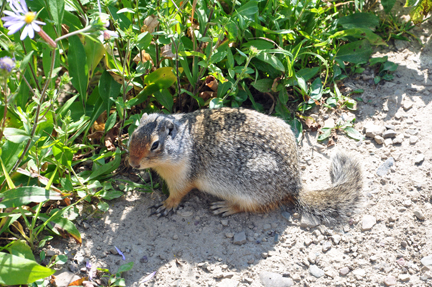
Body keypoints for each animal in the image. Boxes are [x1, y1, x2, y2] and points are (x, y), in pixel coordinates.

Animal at [127, 108, 362, 220]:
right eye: (133, 134)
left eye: (155, 145)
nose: (133, 164)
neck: (186, 144)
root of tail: (295, 186)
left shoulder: (182, 177)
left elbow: (178, 194)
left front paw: (166, 205)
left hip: (249, 189)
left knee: (249, 207)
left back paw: (225, 207)